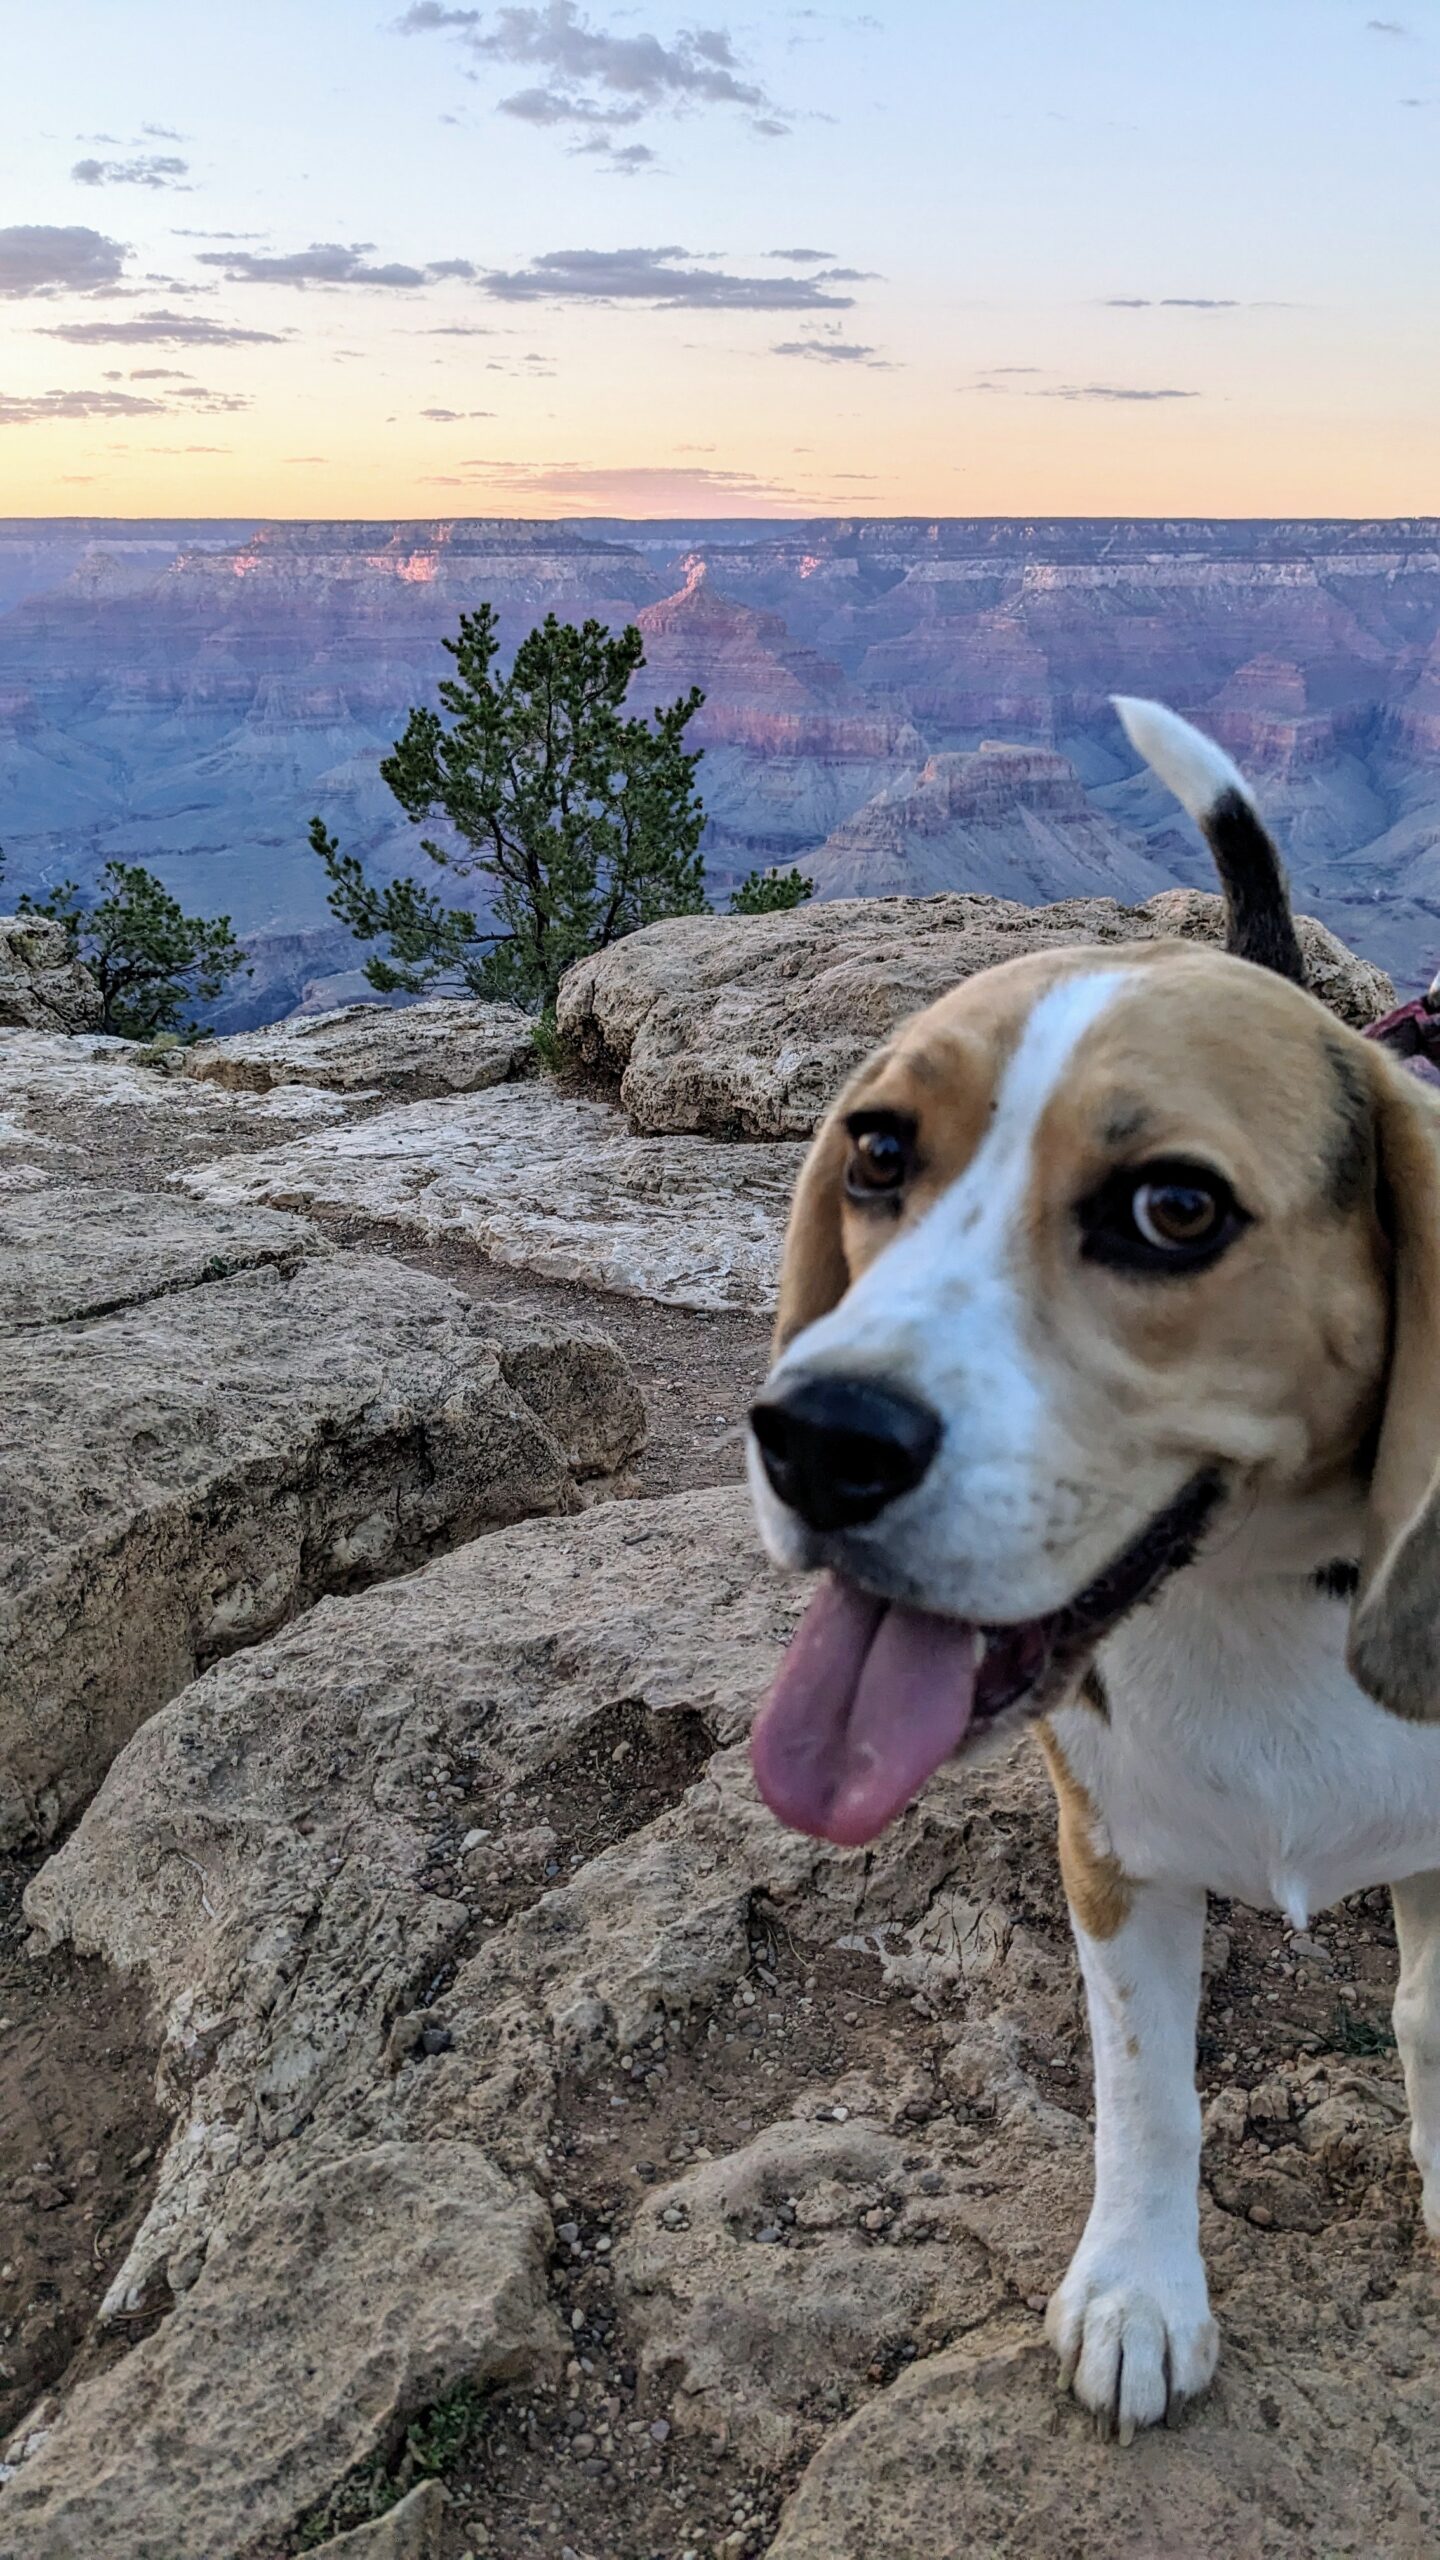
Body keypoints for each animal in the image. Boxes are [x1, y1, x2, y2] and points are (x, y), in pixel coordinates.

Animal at [737, 696, 1434, 2437]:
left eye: (1173, 1207)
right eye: (875, 1151)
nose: (813, 1440)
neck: (1258, 1605)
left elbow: (1426, 2018)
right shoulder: (1110, 1849)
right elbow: (1145, 2089)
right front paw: (1138, 2293)